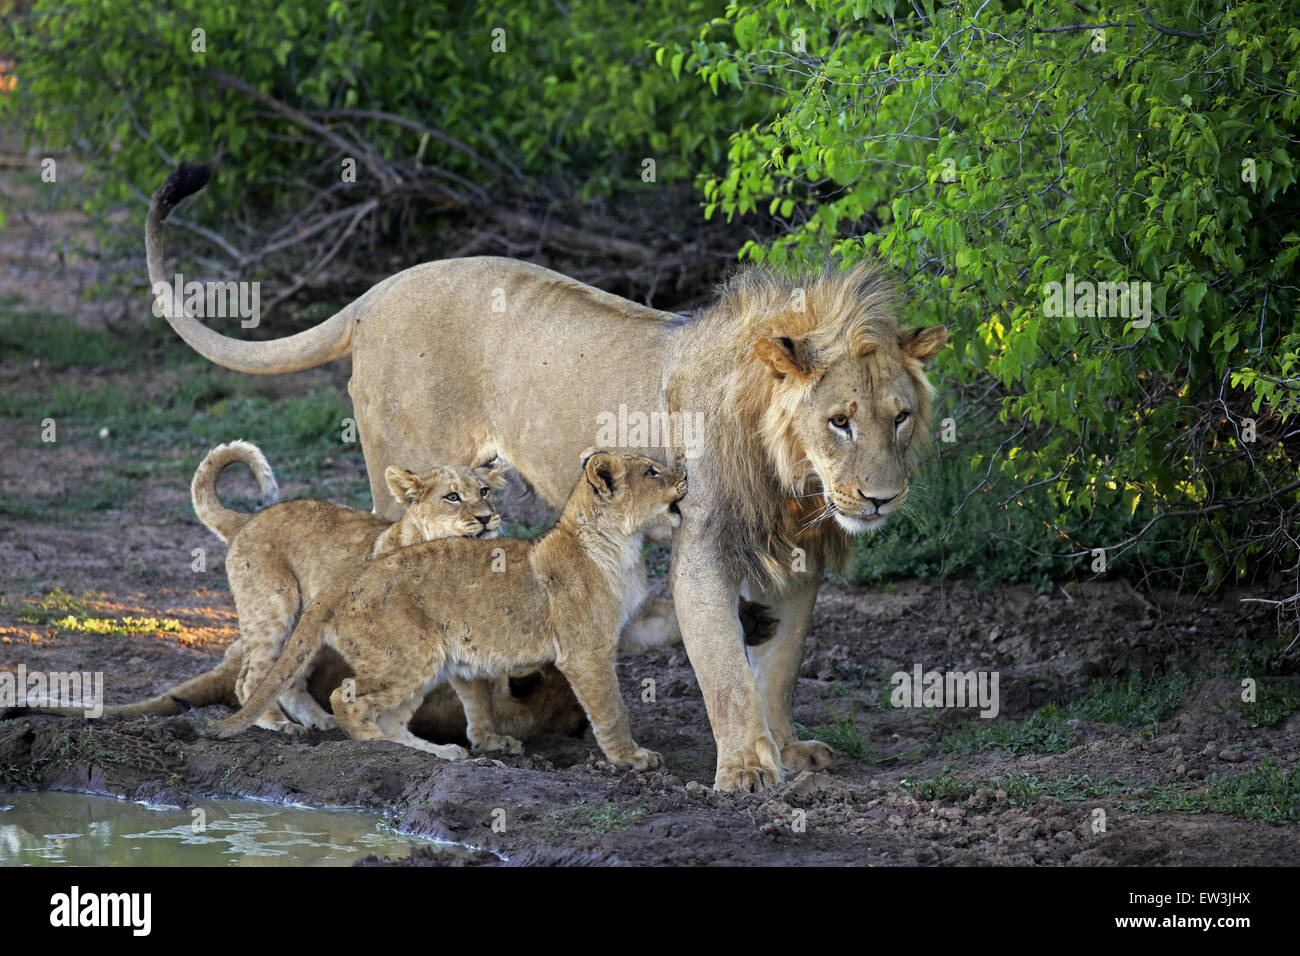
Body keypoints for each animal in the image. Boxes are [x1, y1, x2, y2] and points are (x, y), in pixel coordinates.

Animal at [147, 164, 951, 790]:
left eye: (900, 418)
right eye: (839, 421)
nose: (880, 499)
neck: (795, 478)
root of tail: (377, 291)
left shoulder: (799, 559)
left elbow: (778, 667)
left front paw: (787, 749)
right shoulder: (703, 548)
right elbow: (726, 670)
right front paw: (747, 770)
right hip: (408, 484)